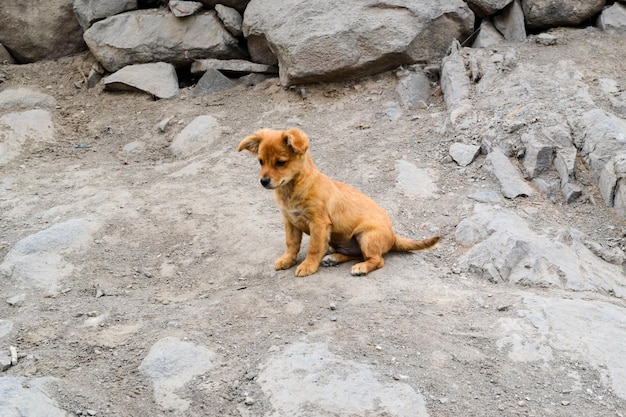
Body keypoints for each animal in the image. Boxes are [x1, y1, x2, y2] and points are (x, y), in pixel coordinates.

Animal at [238, 127, 438, 276]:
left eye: (280, 162)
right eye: (260, 161)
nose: (263, 181)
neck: (294, 189)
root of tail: (393, 236)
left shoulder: (318, 223)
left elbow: (313, 247)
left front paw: (308, 266)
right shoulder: (290, 221)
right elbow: (291, 244)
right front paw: (287, 259)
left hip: (366, 236)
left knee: (376, 260)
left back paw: (361, 267)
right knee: (355, 254)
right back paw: (333, 259)